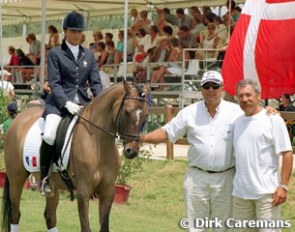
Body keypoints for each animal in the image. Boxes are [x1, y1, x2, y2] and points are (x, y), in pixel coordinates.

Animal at [1, 80, 150, 232]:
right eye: (126, 112)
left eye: (146, 115)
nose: (132, 151)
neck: (98, 143)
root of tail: (18, 118)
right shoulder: (83, 192)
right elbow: (86, 227)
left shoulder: (108, 192)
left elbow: (104, 227)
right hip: (16, 178)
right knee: (15, 214)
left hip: (52, 186)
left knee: (50, 216)